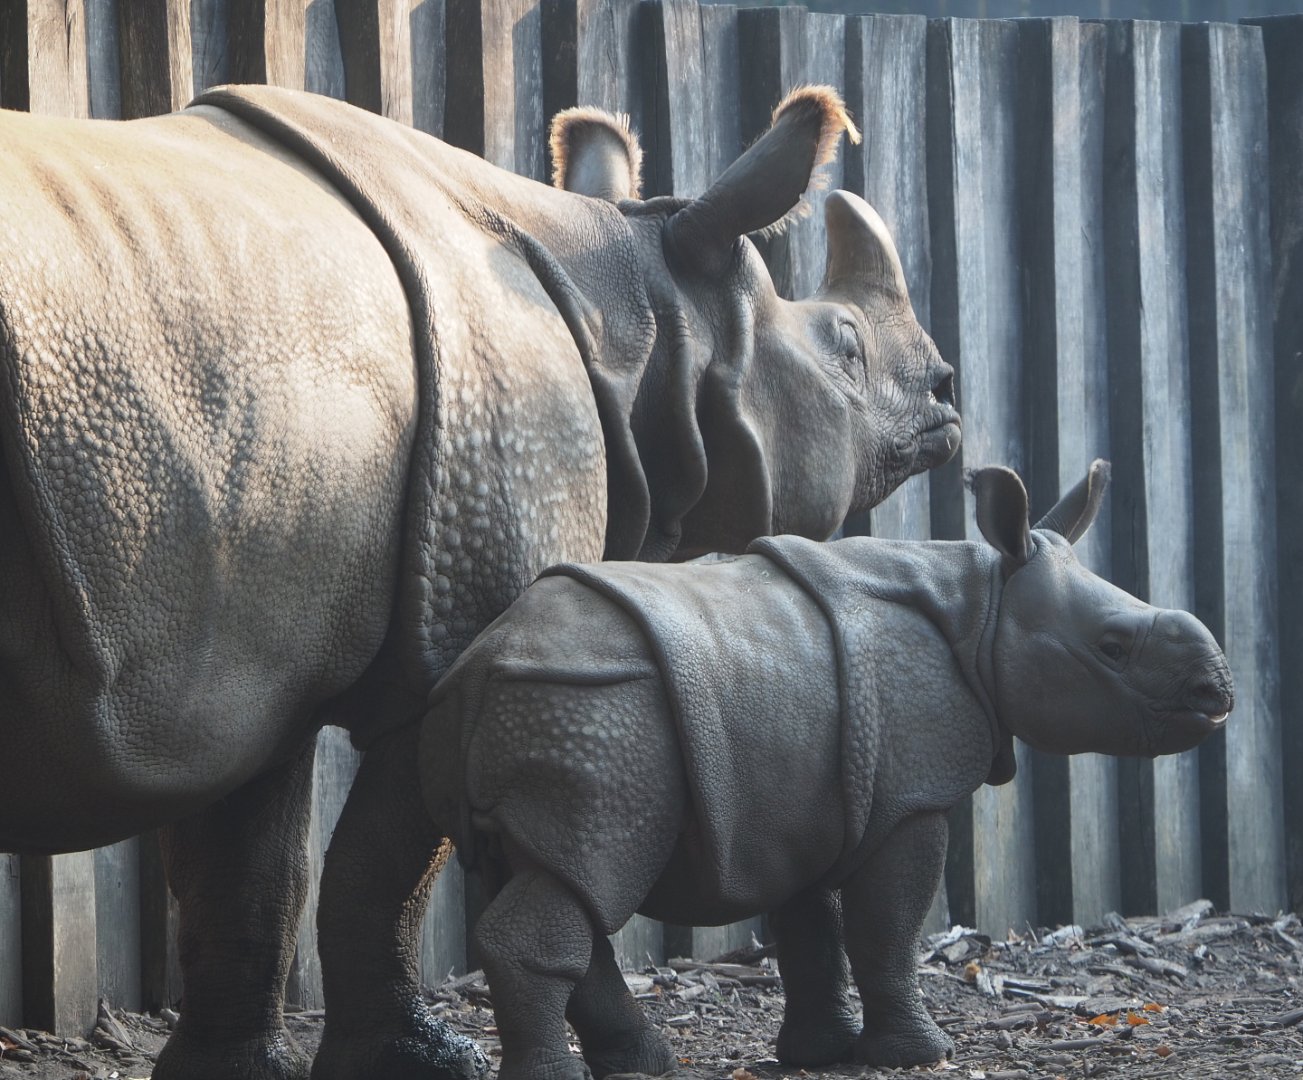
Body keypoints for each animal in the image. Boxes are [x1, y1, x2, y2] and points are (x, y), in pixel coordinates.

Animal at [0, 81, 958, 1080]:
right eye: (844, 345)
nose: (945, 396)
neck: (640, 311)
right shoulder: (458, 643)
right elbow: (384, 866)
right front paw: (426, 1060)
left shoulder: (241, 637)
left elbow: (253, 870)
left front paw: (234, 1073)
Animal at [420, 460, 1233, 1080]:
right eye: (1113, 648)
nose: (1217, 694)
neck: (985, 606)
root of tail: (480, 664)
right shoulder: (909, 795)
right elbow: (888, 928)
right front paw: (919, 1056)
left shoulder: (794, 793)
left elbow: (813, 930)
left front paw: (820, 1056)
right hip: (593, 711)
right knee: (591, 869)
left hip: (563, 711)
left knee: (548, 876)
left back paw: (643, 1067)